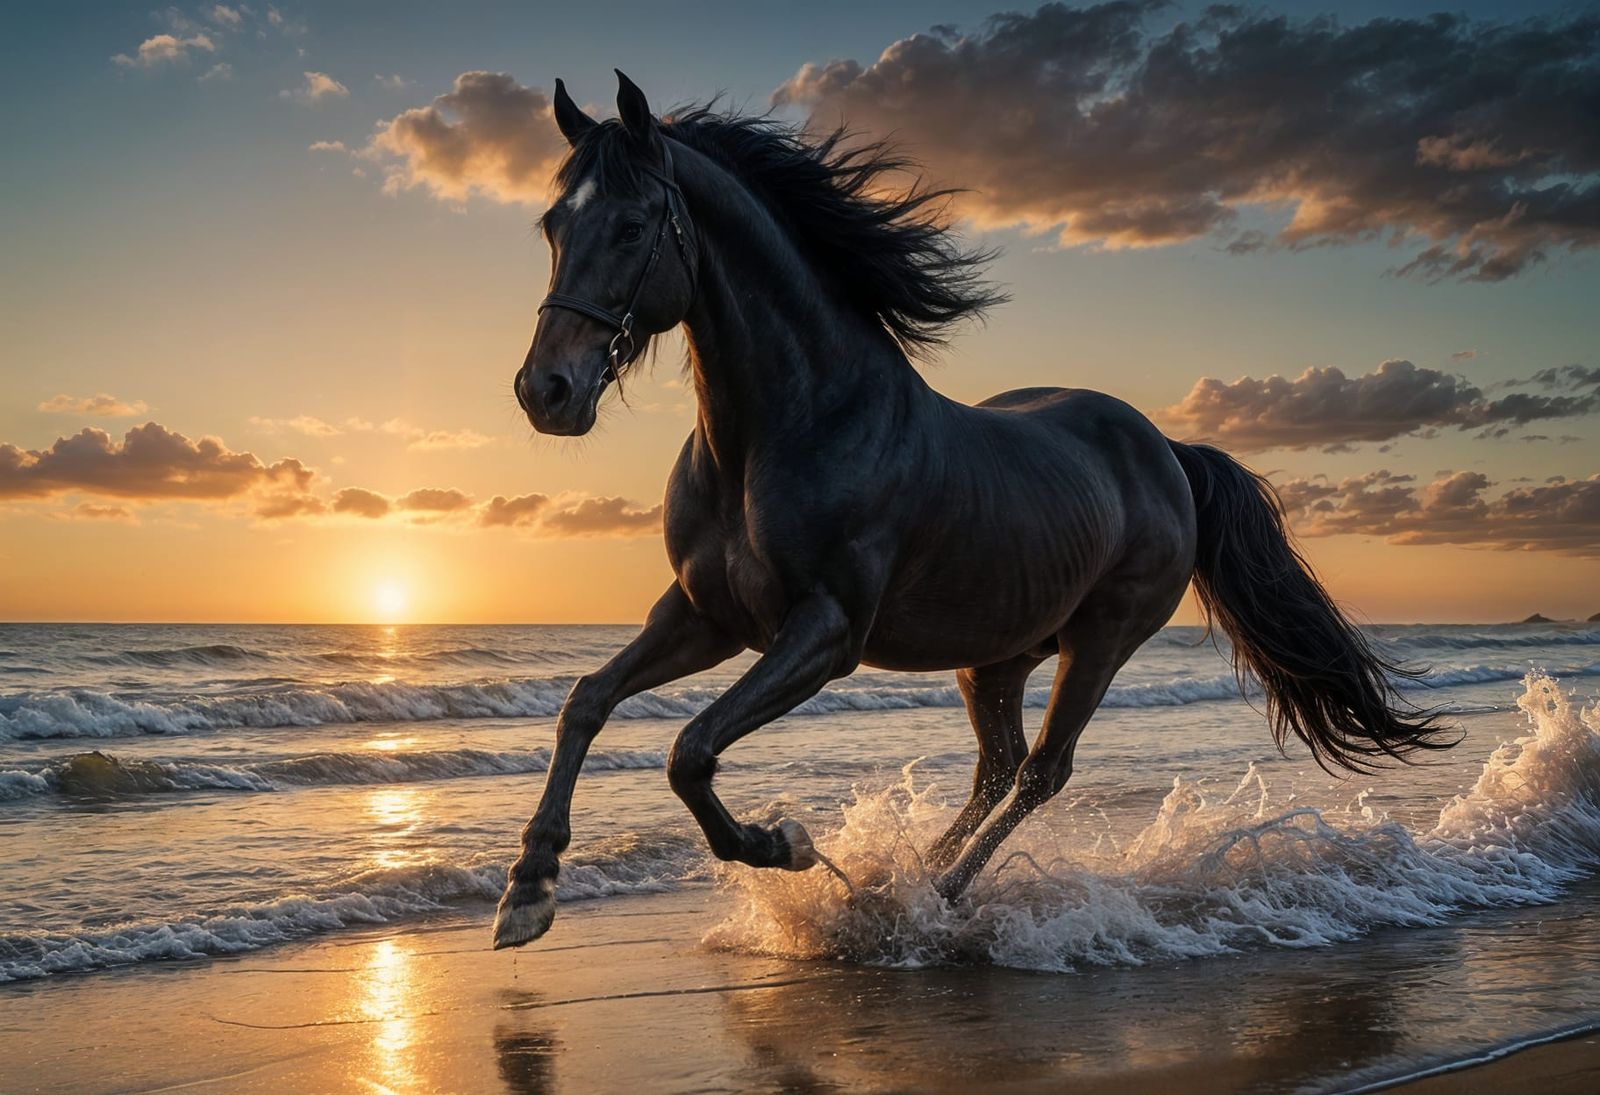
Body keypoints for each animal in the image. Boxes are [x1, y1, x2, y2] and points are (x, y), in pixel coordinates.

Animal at [495, 70, 1451, 949]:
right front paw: (528, 889)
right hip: (994, 656)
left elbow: (690, 751)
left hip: (1100, 641)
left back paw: (936, 897)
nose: (546, 391)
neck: (789, 429)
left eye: (629, 225)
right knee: (997, 767)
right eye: (551, 226)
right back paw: (905, 877)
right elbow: (587, 700)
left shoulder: (825, 633)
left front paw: (785, 843)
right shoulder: (706, 615)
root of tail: (1171, 453)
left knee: (1040, 773)